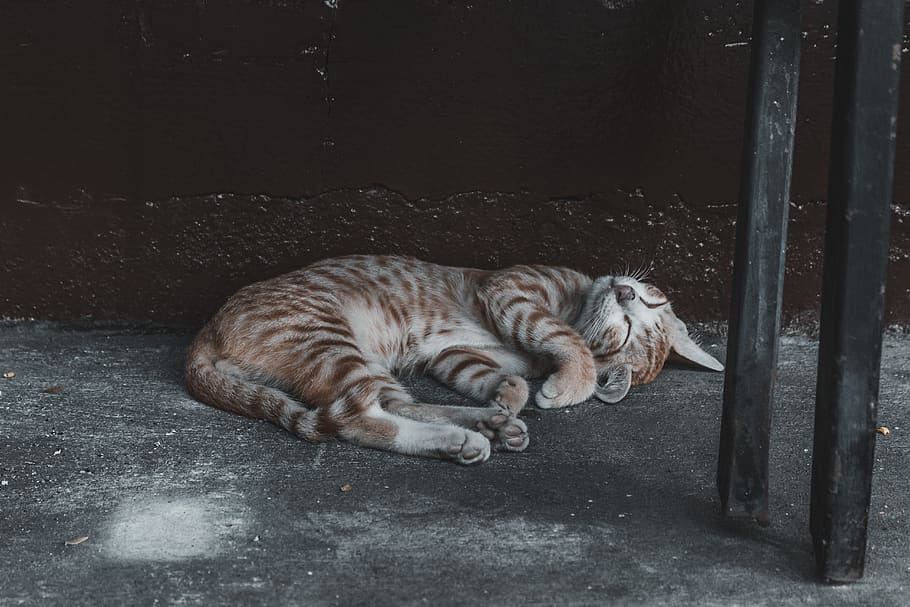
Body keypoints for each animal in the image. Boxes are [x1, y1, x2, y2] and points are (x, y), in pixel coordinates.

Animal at [187, 254, 728, 464]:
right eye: (651, 302)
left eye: (628, 330)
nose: (624, 290)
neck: (576, 299)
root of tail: (207, 332)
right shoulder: (510, 291)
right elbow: (563, 336)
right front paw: (574, 380)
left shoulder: (455, 354)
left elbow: (494, 373)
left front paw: (512, 394)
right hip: (329, 339)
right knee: (362, 417)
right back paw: (467, 433)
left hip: (347, 355)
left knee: (386, 408)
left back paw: (481, 426)